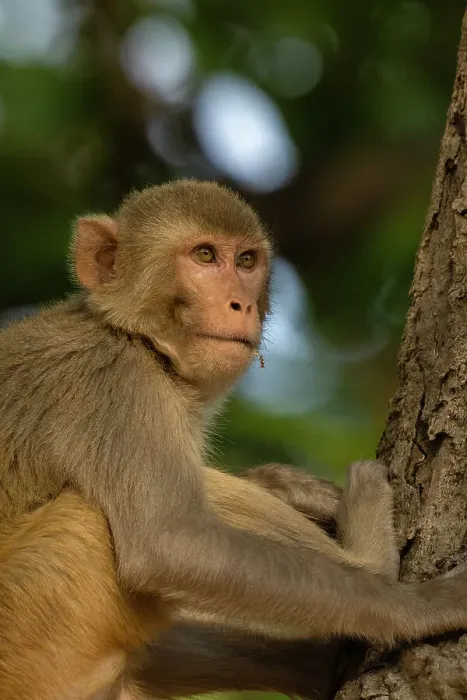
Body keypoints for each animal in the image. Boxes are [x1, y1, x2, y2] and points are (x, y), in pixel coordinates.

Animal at [1, 179, 467, 700]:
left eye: (246, 261)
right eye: (204, 255)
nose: (240, 304)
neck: (137, 338)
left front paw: (282, 483)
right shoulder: (116, 386)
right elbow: (170, 543)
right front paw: (422, 603)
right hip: (34, 633)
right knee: (90, 515)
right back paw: (373, 559)